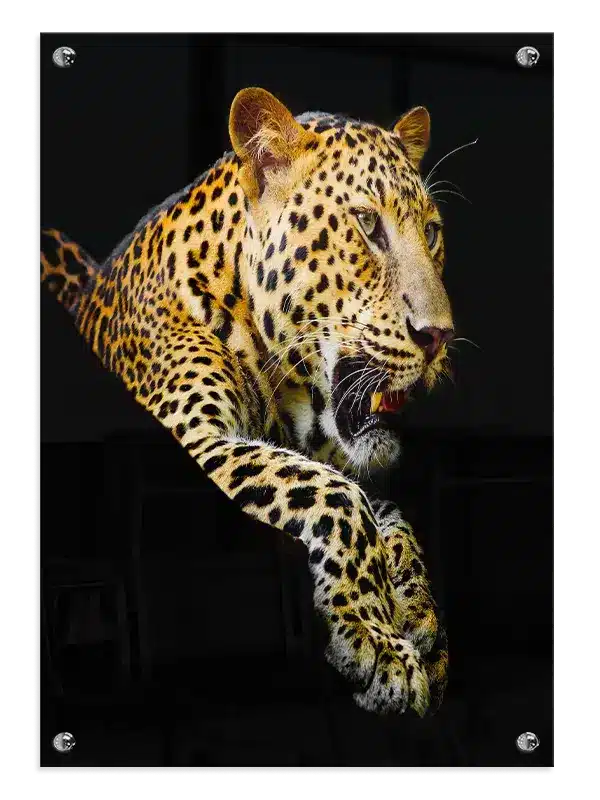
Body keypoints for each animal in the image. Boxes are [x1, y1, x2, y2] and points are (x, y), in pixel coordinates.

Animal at [40, 87, 454, 716]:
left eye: (430, 232)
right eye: (366, 224)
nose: (438, 336)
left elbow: (387, 514)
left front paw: (420, 617)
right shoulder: (197, 440)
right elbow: (340, 497)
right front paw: (378, 641)